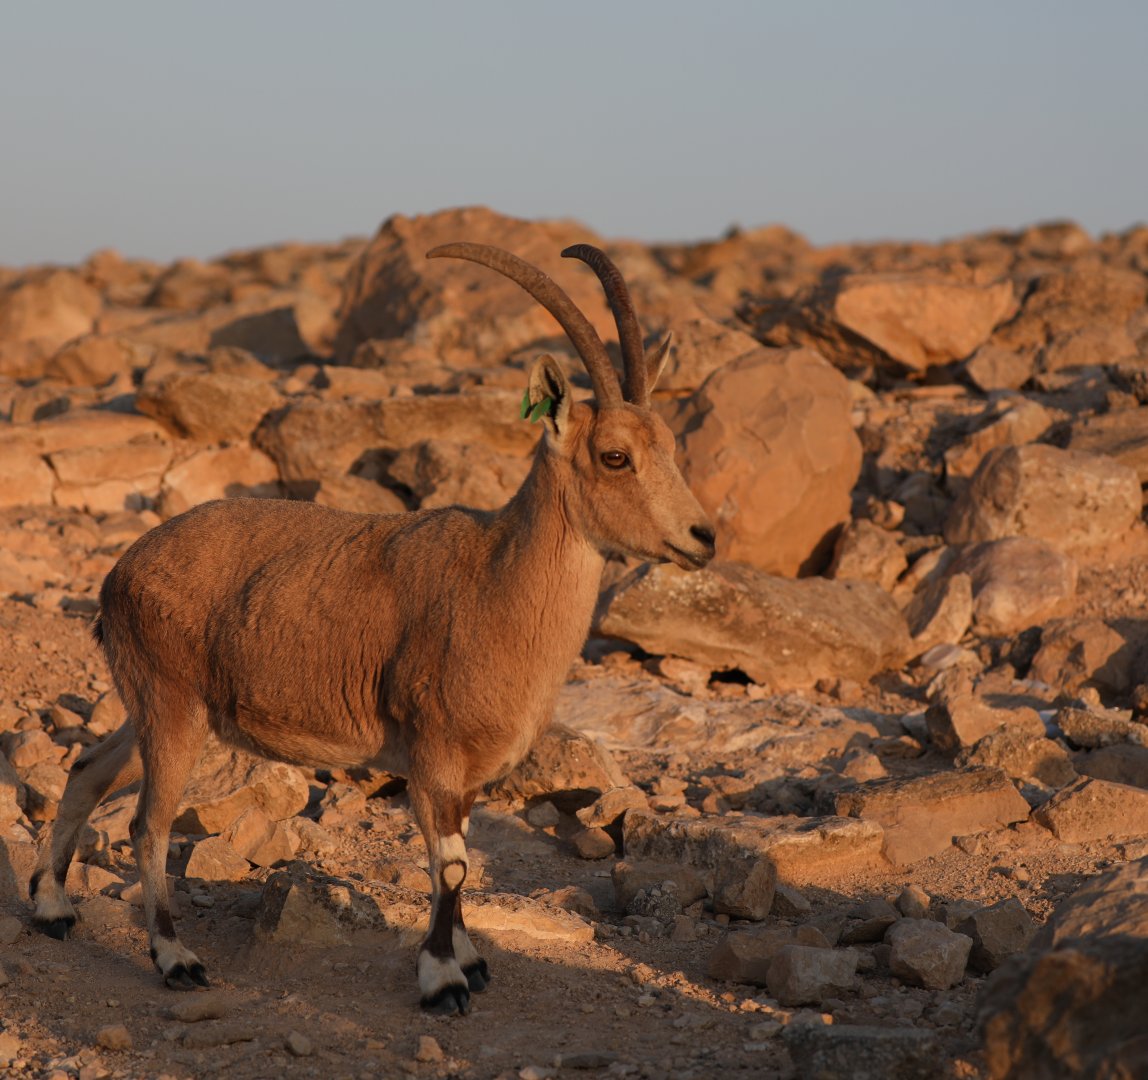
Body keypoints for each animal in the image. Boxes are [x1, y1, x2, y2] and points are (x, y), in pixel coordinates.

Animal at [30, 243, 716, 1015]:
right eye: (615, 456)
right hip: (174, 709)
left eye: (670, 447)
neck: (496, 584)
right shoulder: (434, 753)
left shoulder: (467, 775)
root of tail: (119, 574)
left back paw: (52, 909)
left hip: (153, 703)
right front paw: (442, 979)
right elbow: (451, 866)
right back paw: (175, 958)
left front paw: (470, 960)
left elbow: (462, 859)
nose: (703, 538)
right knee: (147, 825)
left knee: (88, 769)